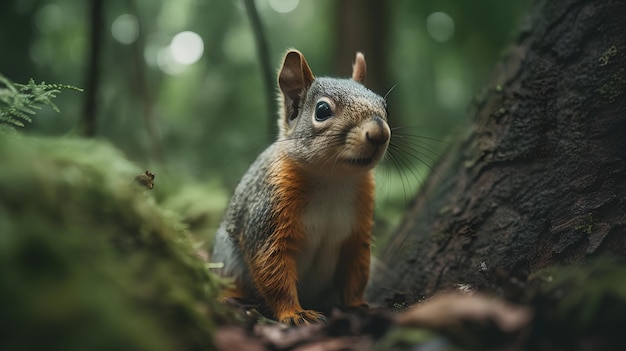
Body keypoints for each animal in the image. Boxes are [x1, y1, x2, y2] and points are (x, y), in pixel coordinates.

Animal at [213, 48, 390, 326]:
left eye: (384, 105)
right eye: (322, 110)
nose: (379, 133)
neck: (333, 180)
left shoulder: (358, 232)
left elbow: (357, 271)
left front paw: (357, 304)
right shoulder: (268, 215)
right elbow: (272, 266)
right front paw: (294, 313)